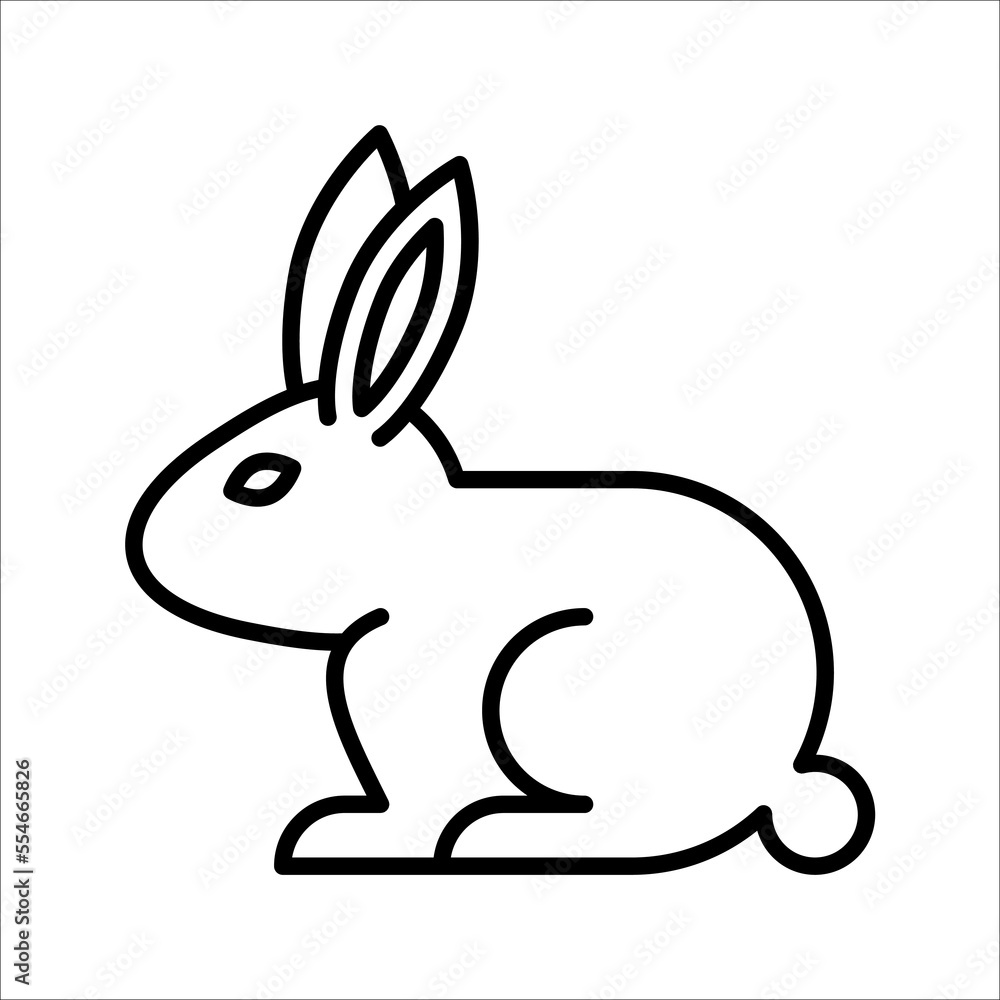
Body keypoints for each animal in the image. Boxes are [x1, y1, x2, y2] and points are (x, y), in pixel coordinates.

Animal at [126, 126, 874, 876]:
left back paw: (496, 833)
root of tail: (779, 777)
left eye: (261, 479)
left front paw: (349, 840)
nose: (145, 554)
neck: (406, 538)